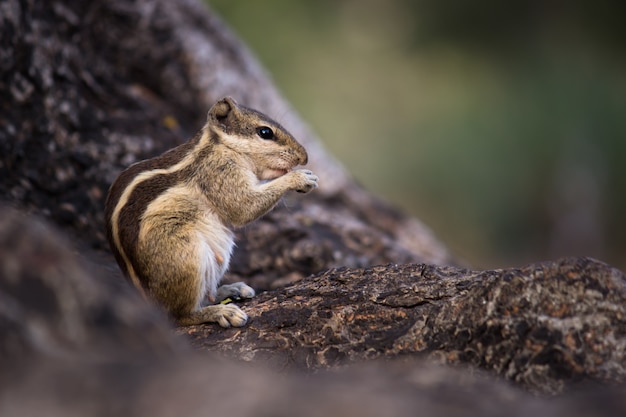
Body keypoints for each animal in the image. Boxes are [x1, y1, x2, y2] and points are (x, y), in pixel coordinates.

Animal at [105, 96, 316, 326]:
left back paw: (230, 289)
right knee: (180, 316)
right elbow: (243, 207)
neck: (221, 146)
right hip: (186, 256)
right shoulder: (219, 173)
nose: (304, 157)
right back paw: (221, 312)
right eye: (265, 132)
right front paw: (299, 178)